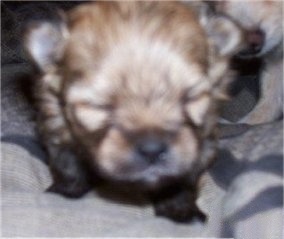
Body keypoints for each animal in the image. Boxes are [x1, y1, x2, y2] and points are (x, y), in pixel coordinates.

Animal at [23, 1, 242, 222]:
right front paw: (66, 191)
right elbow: (68, 165)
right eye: (98, 106)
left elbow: (183, 179)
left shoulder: (202, 146)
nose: (152, 148)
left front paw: (178, 208)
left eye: (192, 98)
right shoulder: (57, 127)